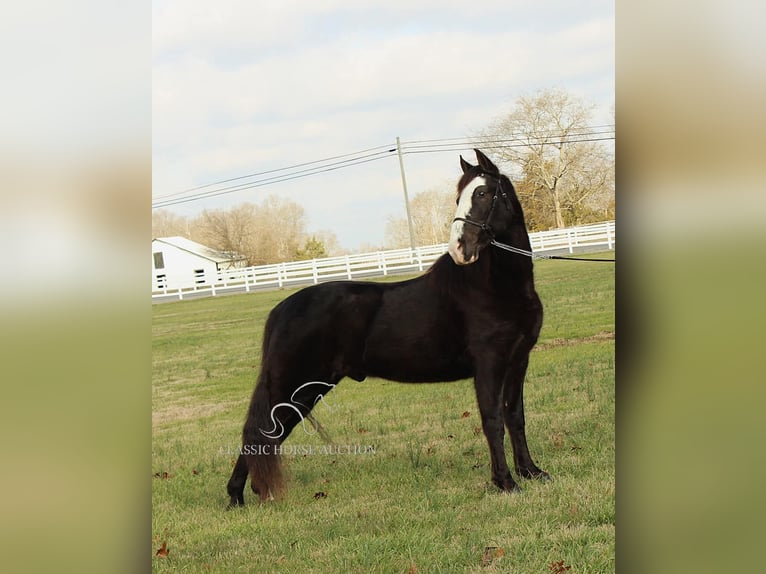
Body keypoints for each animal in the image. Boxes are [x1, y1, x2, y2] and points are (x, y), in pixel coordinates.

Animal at [228, 150, 552, 508]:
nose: (460, 249)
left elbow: (515, 416)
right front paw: (505, 482)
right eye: (460, 197)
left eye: (481, 193)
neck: (493, 287)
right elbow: (493, 421)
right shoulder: (489, 365)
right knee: (261, 433)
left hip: (307, 390)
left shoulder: (517, 360)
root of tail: (281, 309)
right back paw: (237, 497)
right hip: (294, 388)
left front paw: (531, 472)